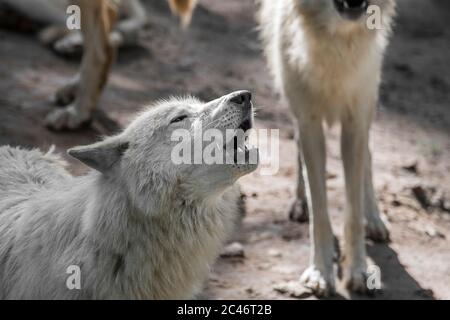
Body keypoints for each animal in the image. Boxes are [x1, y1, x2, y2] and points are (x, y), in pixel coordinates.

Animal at [258, 0, 396, 296]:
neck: (336, 40)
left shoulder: (356, 119)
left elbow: (353, 212)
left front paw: (359, 271)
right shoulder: (308, 120)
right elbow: (319, 210)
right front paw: (320, 272)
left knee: (368, 156)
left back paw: (375, 220)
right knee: (298, 151)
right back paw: (300, 203)